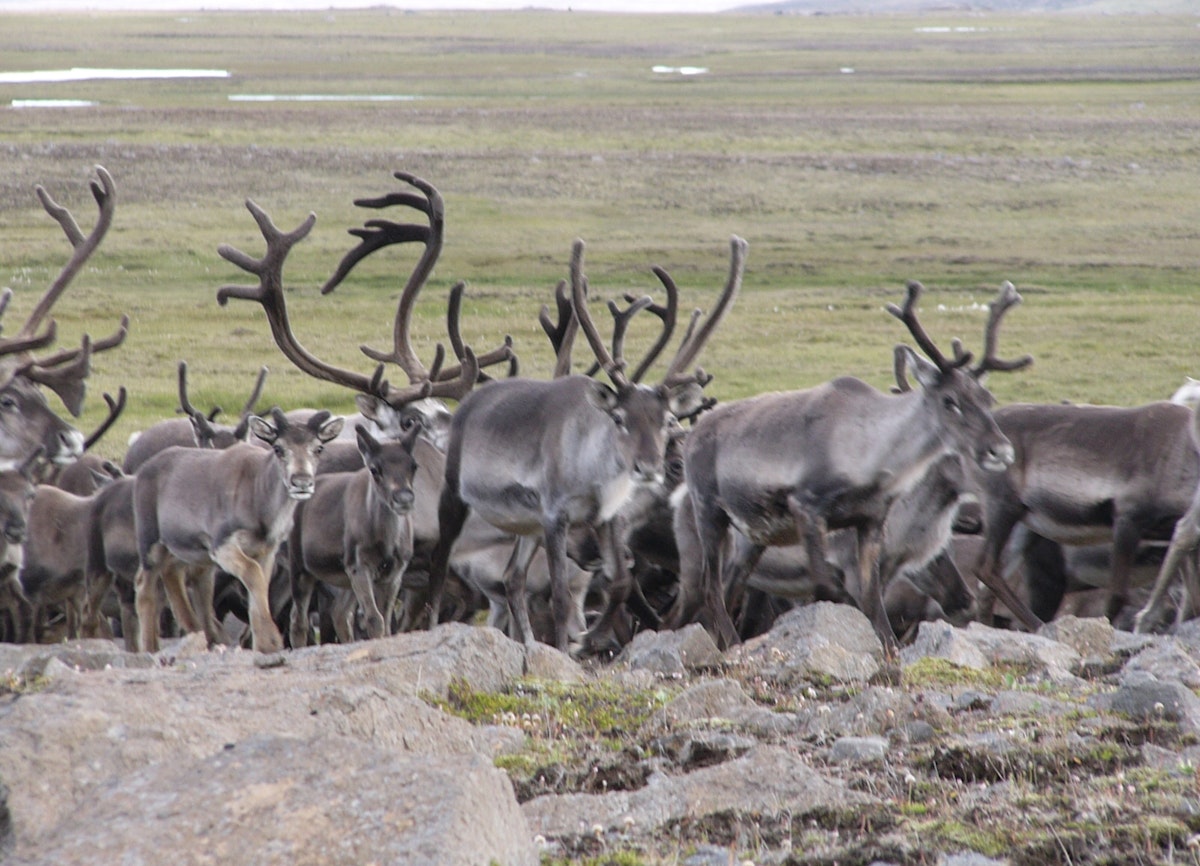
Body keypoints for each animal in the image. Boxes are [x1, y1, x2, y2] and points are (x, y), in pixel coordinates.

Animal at [288, 422, 420, 642]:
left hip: (344, 576)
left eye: (414, 465)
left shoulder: (395, 572)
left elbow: (386, 621)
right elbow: (375, 618)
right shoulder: (359, 564)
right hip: (300, 566)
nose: (404, 498)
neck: (386, 542)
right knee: (298, 619)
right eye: (374, 469)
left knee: (339, 612)